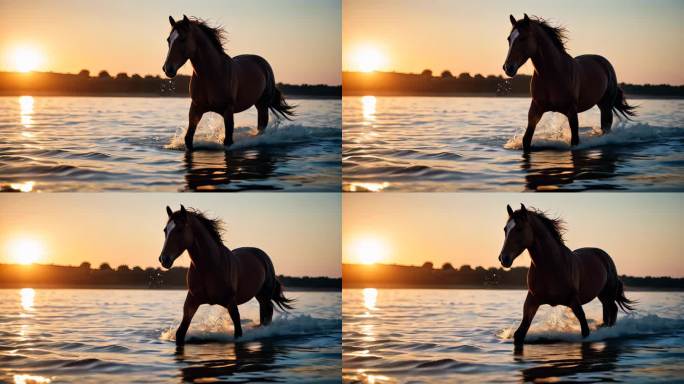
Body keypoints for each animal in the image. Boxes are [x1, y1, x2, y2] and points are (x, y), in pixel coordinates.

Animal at [159, 204, 296, 344]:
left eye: (180, 229)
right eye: (165, 230)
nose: (164, 259)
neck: (210, 267)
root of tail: (262, 255)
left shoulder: (231, 303)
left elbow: (238, 331)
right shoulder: (191, 302)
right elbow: (180, 333)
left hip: (265, 296)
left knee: (267, 314)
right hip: (259, 296)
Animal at [166, 16, 296, 152]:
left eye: (183, 39)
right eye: (168, 40)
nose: (167, 68)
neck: (212, 74)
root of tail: (263, 62)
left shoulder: (228, 110)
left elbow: (228, 141)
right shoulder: (196, 108)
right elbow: (188, 139)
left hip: (262, 104)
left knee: (261, 127)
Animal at [496, 204, 636, 348]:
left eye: (519, 228)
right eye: (505, 229)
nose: (503, 258)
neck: (552, 266)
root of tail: (604, 255)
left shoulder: (574, 301)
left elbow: (585, 330)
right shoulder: (532, 301)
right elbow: (519, 335)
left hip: (608, 295)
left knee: (613, 310)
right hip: (603, 296)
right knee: (607, 313)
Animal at [502, 13, 636, 152]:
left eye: (523, 38)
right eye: (509, 39)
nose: (508, 68)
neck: (553, 74)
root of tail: (604, 62)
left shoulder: (572, 111)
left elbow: (575, 141)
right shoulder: (535, 109)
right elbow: (526, 140)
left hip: (606, 106)